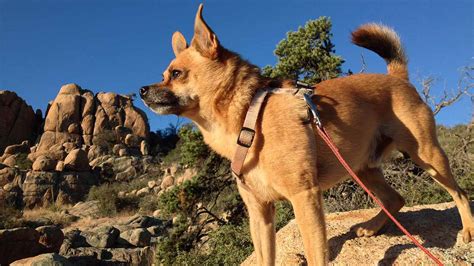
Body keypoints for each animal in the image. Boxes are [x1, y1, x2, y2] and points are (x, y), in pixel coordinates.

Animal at [140, 4, 470, 266]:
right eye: (164, 74)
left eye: (176, 74)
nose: (142, 90)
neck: (249, 114)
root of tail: (397, 78)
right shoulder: (260, 213)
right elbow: (265, 258)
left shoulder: (304, 198)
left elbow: (316, 255)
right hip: (364, 168)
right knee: (395, 199)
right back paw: (371, 226)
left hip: (427, 156)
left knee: (460, 193)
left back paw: (467, 230)